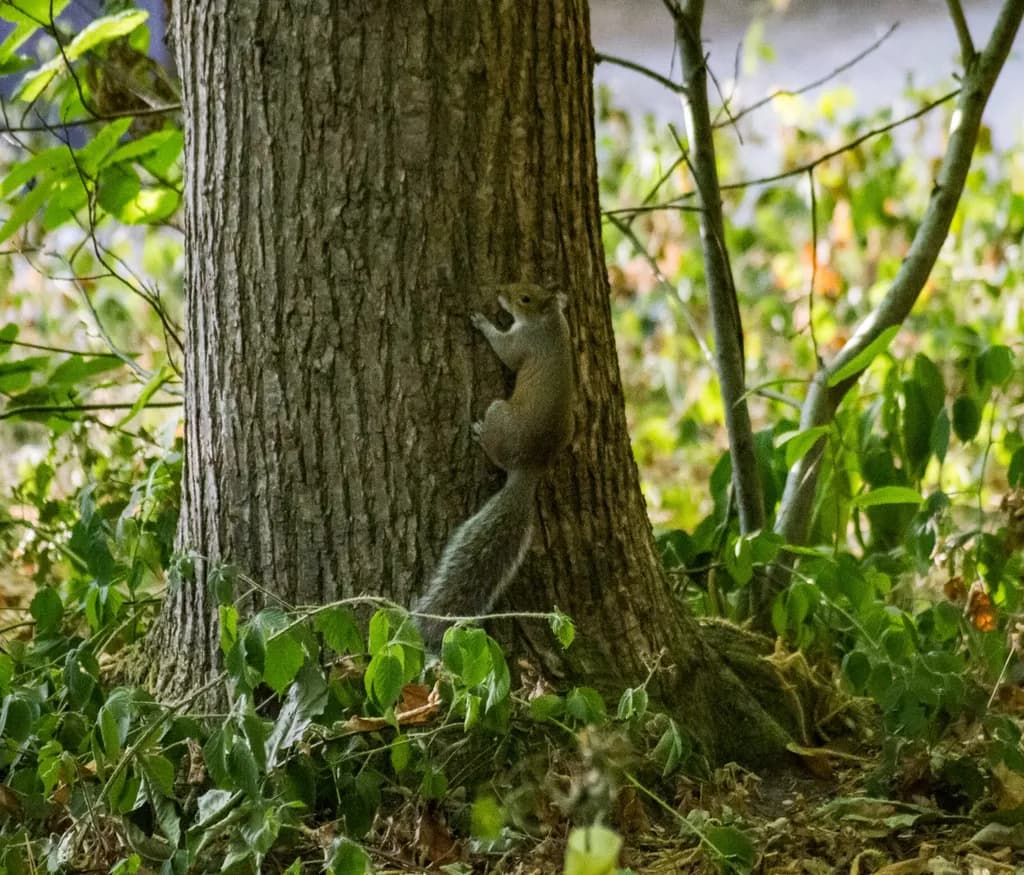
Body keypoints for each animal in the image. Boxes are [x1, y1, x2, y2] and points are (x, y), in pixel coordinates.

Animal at [415, 283, 575, 648]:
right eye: (523, 283)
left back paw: (478, 433)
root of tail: (530, 468)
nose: (501, 291)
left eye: (525, 298)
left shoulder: (522, 343)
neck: (551, 323)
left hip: (498, 411)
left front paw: (482, 322)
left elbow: (505, 352)